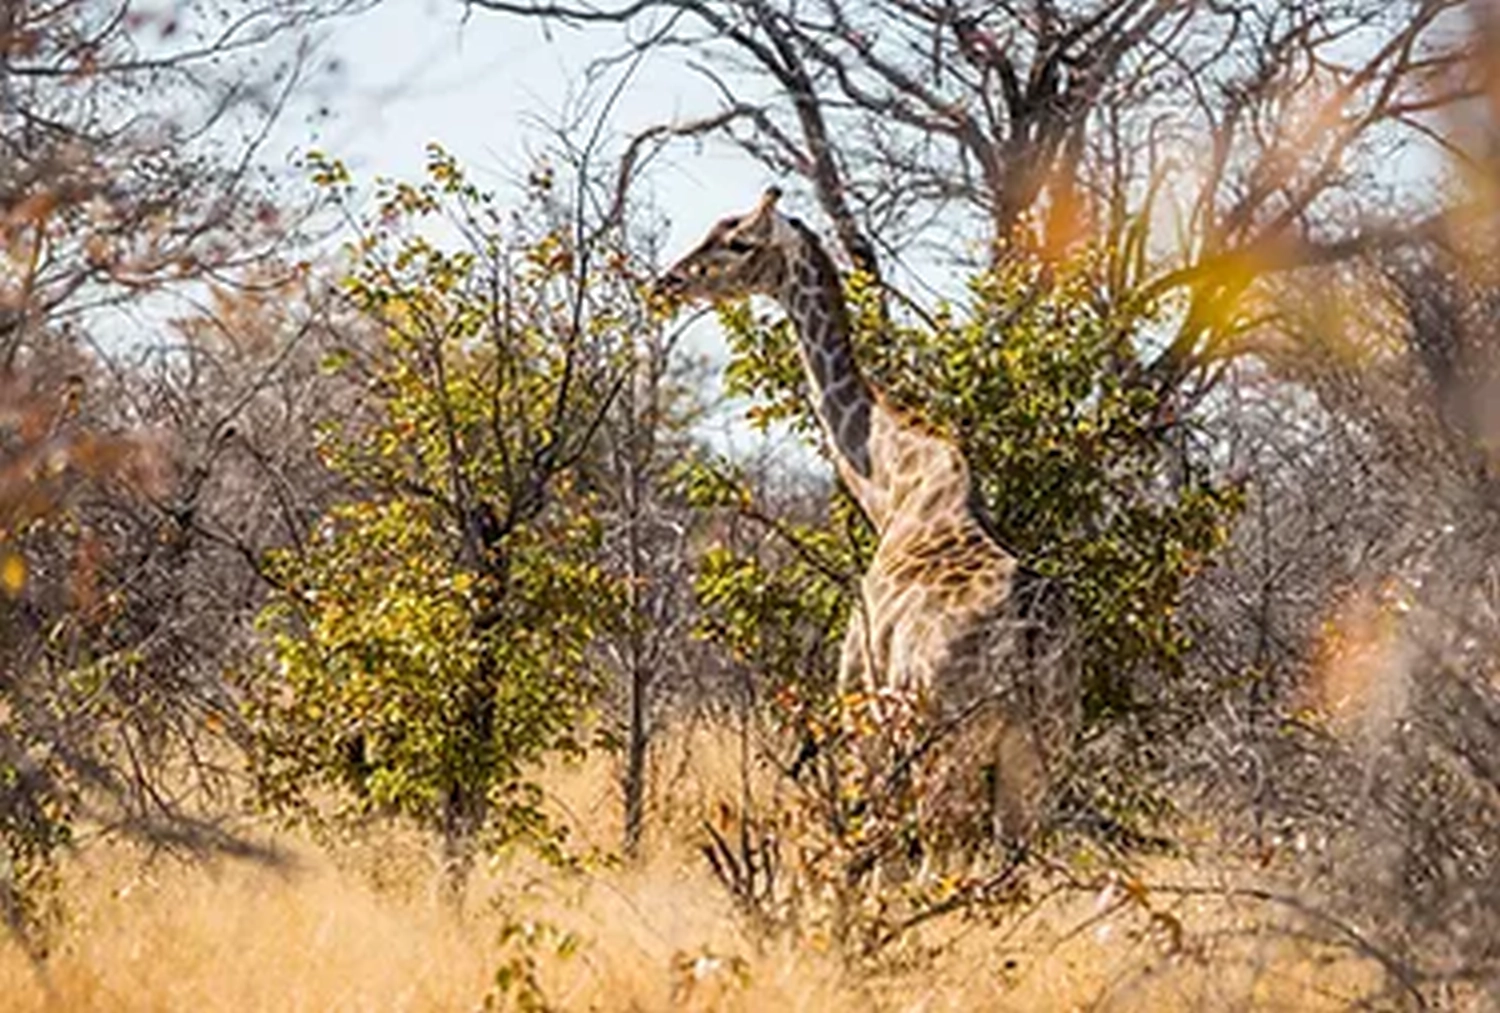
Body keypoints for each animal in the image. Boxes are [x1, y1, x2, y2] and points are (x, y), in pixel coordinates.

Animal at [660, 188, 1080, 840]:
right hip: (1041, 748)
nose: (670, 281)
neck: (891, 491)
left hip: (946, 738)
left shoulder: (858, 696)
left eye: (739, 242)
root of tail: (1027, 630)